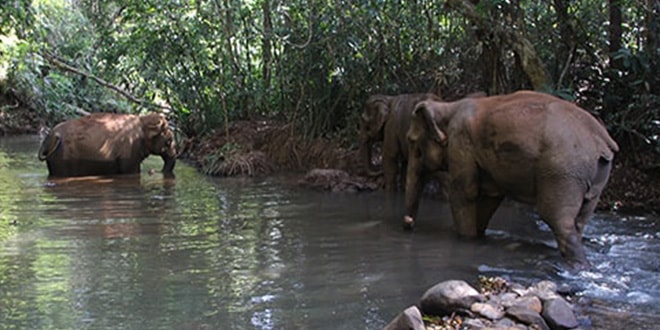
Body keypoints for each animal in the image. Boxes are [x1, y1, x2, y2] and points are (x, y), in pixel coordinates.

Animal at [38, 112, 177, 178]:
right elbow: (131, 171)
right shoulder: (130, 148)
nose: (151, 171)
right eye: (169, 141)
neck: (143, 120)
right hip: (63, 159)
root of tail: (50, 137)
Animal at [404, 90, 620, 268]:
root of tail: (602, 139)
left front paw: (465, 240)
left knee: (557, 218)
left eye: (413, 143)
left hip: (563, 171)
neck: (448, 106)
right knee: (580, 221)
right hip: (595, 176)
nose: (409, 223)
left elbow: (464, 193)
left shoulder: (460, 143)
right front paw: (478, 238)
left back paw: (577, 267)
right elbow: (489, 198)